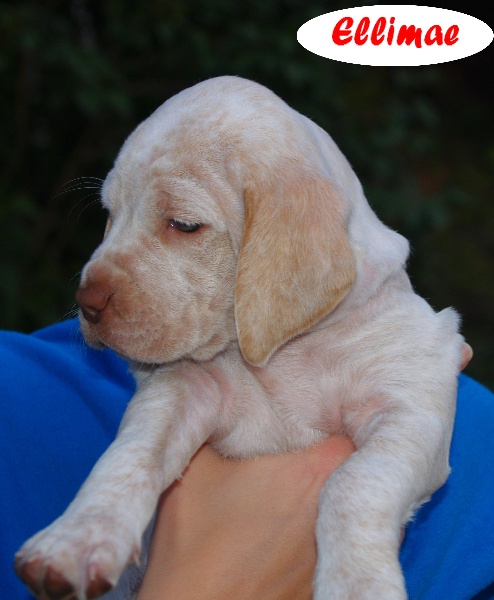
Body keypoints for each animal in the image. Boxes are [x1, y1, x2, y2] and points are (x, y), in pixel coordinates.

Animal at [15, 76, 468, 599]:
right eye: (109, 214)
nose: (86, 302)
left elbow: (354, 482)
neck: (280, 353)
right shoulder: (183, 389)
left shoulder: (410, 408)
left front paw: (357, 583)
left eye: (184, 224)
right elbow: (130, 454)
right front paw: (76, 539)